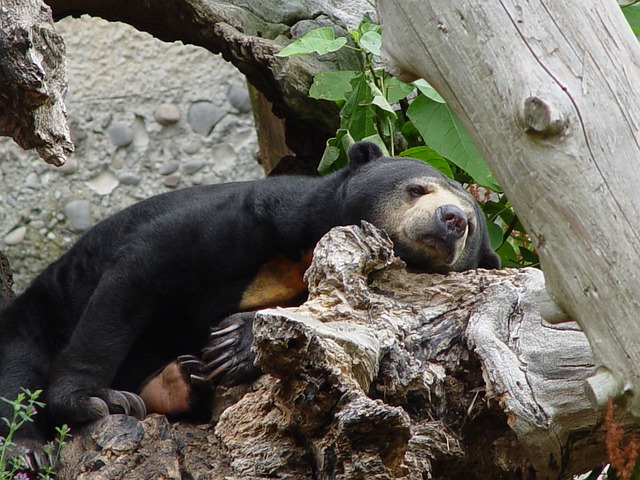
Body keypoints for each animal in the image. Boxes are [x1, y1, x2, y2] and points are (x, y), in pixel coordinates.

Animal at [0, 142, 498, 454]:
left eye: (472, 224)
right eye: (416, 189)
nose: (452, 218)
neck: (303, 254)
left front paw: (233, 346)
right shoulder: (253, 215)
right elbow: (141, 271)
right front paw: (93, 400)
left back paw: (178, 382)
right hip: (42, 308)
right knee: (17, 364)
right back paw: (28, 448)